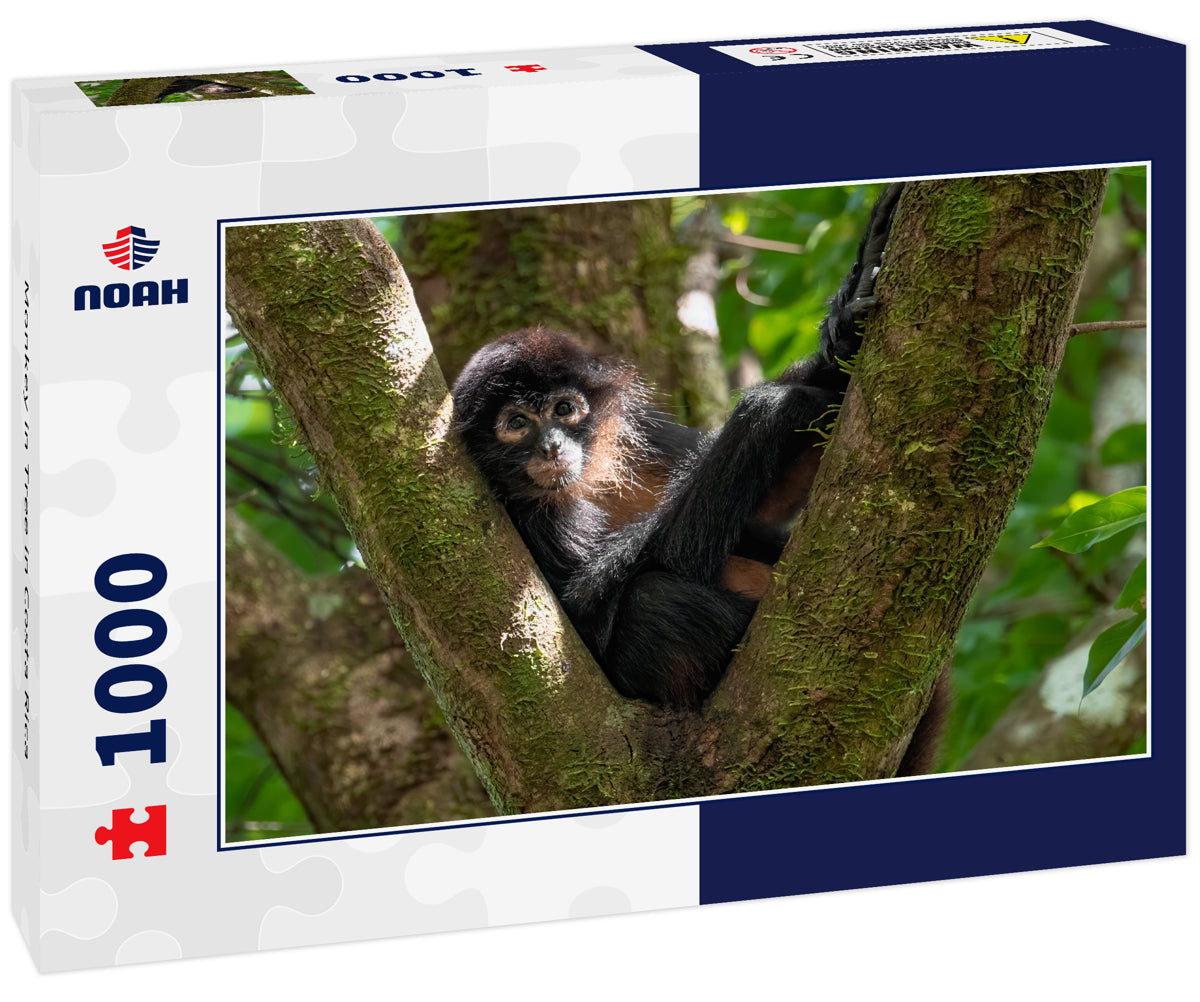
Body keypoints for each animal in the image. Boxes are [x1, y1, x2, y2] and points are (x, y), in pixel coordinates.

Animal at [452, 184, 910, 717]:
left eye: (563, 409)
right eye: (517, 424)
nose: (550, 446)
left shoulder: (643, 435)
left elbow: (763, 516)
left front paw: (846, 326)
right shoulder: (524, 514)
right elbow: (585, 613)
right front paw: (776, 403)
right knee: (653, 599)